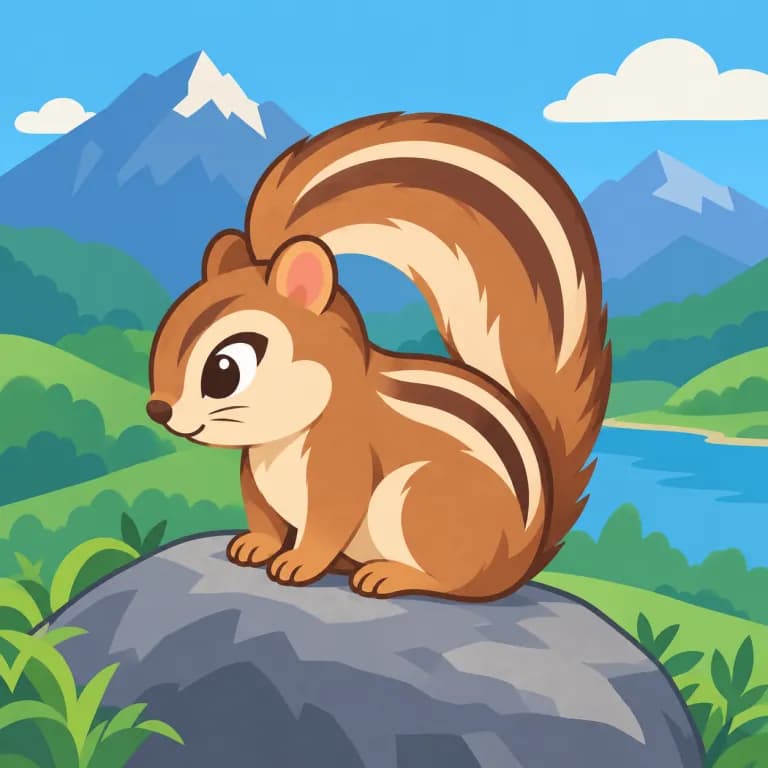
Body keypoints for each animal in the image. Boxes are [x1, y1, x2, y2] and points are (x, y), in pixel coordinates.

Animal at [146, 112, 611, 601]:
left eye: (226, 368)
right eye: (167, 330)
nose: (158, 409)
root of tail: (521, 562)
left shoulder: (344, 464)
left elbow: (327, 525)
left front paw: (298, 563)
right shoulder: (256, 477)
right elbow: (264, 516)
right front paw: (256, 545)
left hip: (425, 502)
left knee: (452, 581)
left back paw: (388, 574)